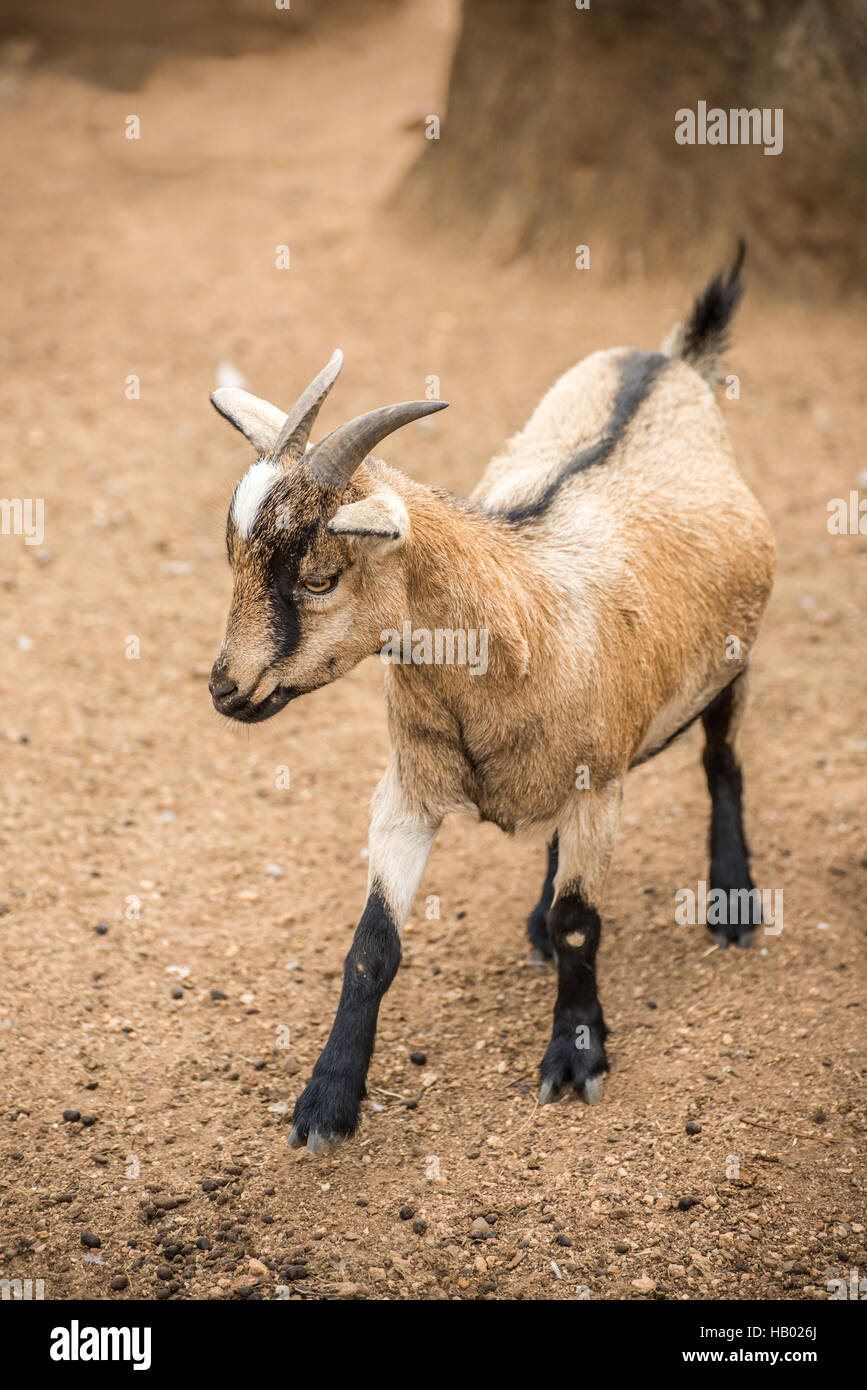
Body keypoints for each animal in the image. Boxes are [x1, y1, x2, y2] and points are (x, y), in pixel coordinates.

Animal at [208, 246, 775, 1155]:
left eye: (319, 577)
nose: (227, 688)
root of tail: (668, 360)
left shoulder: (599, 786)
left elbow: (585, 924)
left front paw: (575, 1058)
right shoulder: (409, 790)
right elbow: (371, 948)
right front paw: (326, 1101)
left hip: (730, 664)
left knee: (722, 762)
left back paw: (732, 901)